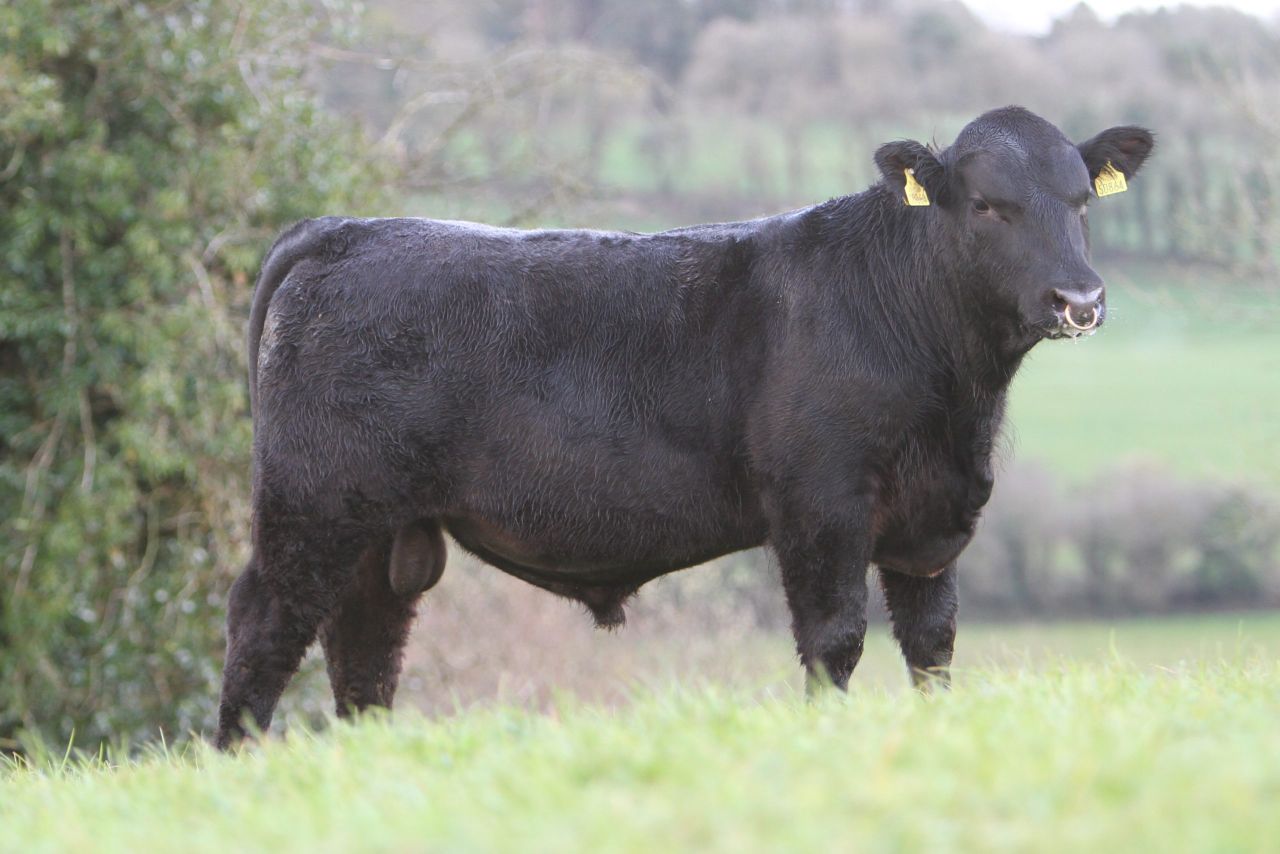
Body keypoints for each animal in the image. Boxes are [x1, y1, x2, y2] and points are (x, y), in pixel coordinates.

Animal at [215, 106, 1154, 748]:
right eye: (989, 205)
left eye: (1081, 200)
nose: (1079, 299)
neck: (953, 400)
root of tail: (345, 229)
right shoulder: (821, 508)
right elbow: (835, 642)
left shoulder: (931, 523)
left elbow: (933, 647)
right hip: (313, 504)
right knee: (264, 624)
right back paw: (236, 764)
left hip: (381, 531)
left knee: (364, 648)